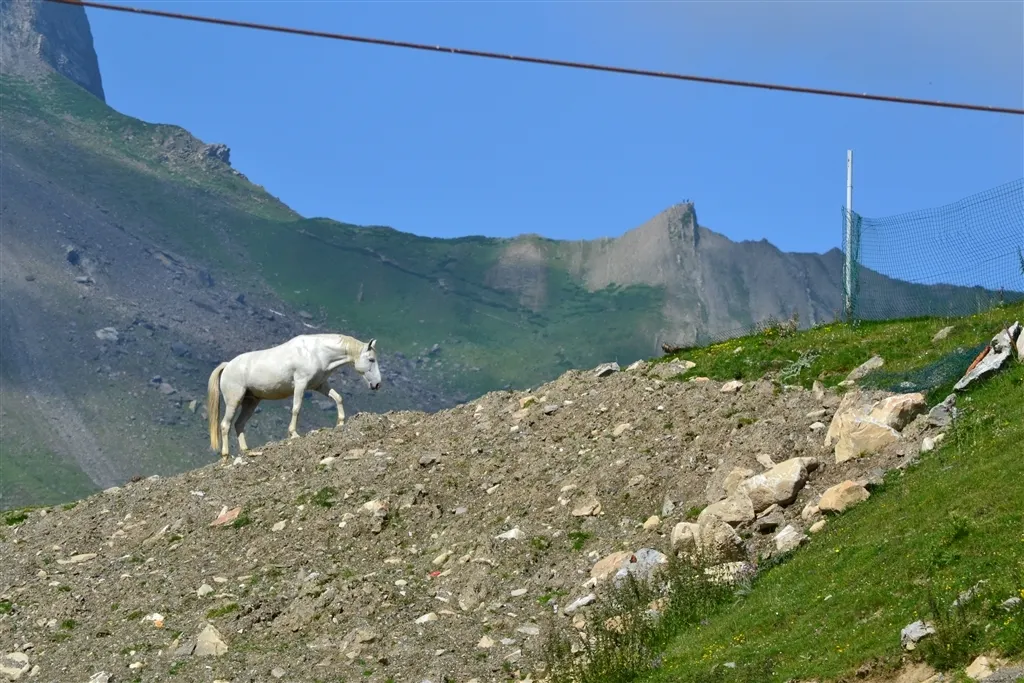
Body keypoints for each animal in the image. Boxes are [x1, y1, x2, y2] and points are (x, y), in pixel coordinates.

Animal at [207, 333, 381, 459]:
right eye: (371, 359)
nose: (377, 384)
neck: (316, 352)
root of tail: (227, 365)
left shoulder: (319, 385)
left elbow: (338, 398)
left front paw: (340, 422)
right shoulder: (301, 384)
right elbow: (296, 408)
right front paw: (293, 434)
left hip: (251, 402)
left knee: (239, 424)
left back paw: (246, 450)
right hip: (234, 401)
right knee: (225, 425)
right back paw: (225, 455)